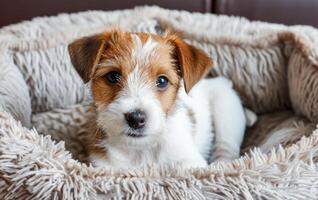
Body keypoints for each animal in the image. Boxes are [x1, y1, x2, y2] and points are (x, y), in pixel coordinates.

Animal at [67, 28, 253, 168]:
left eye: (162, 81)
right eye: (113, 76)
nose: (136, 118)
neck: (141, 150)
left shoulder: (191, 163)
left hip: (227, 110)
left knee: (227, 147)